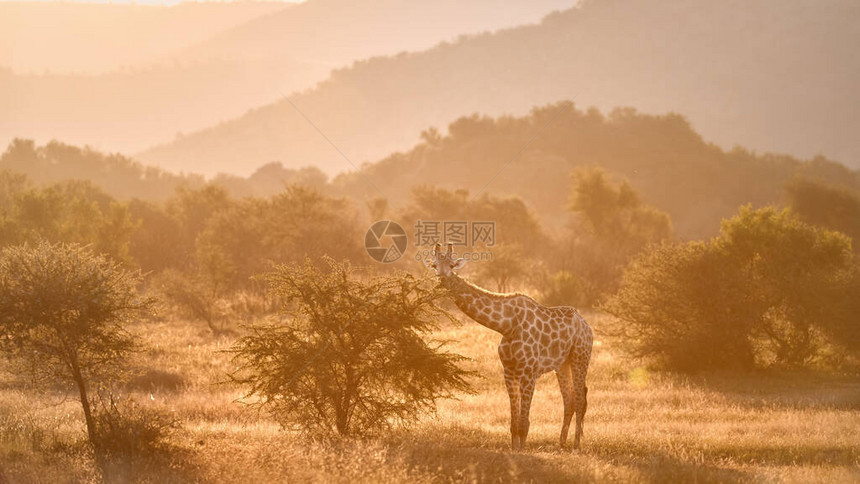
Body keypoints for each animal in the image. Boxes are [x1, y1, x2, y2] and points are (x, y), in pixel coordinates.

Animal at [428, 242, 596, 450]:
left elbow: (524, 421)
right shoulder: (508, 371)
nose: (442, 281)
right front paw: (514, 447)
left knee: (580, 399)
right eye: (434, 266)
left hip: (580, 356)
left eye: (451, 266)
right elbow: (513, 420)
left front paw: (522, 449)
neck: (506, 325)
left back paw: (576, 445)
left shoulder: (528, 371)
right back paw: (561, 443)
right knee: (569, 400)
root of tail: (587, 326)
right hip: (562, 365)